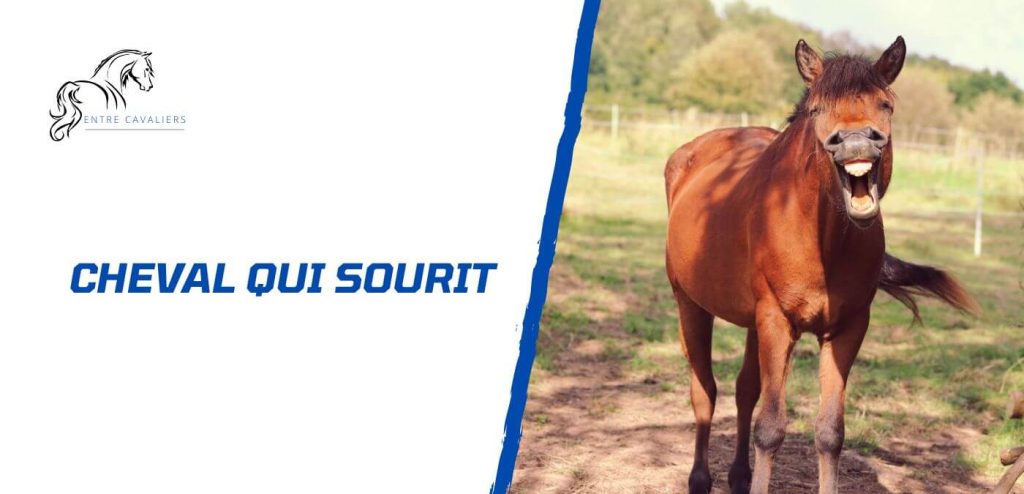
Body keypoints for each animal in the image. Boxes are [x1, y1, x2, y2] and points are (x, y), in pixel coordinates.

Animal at [664, 37, 977, 494]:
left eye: (885, 104)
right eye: (816, 109)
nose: (855, 142)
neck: (823, 240)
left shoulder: (846, 328)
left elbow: (830, 432)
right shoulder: (777, 321)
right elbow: (770, 428)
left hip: (752, 324)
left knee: (743, 391)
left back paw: (739, 477)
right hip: (691, 304)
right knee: (704, 390)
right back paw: (700, 478)